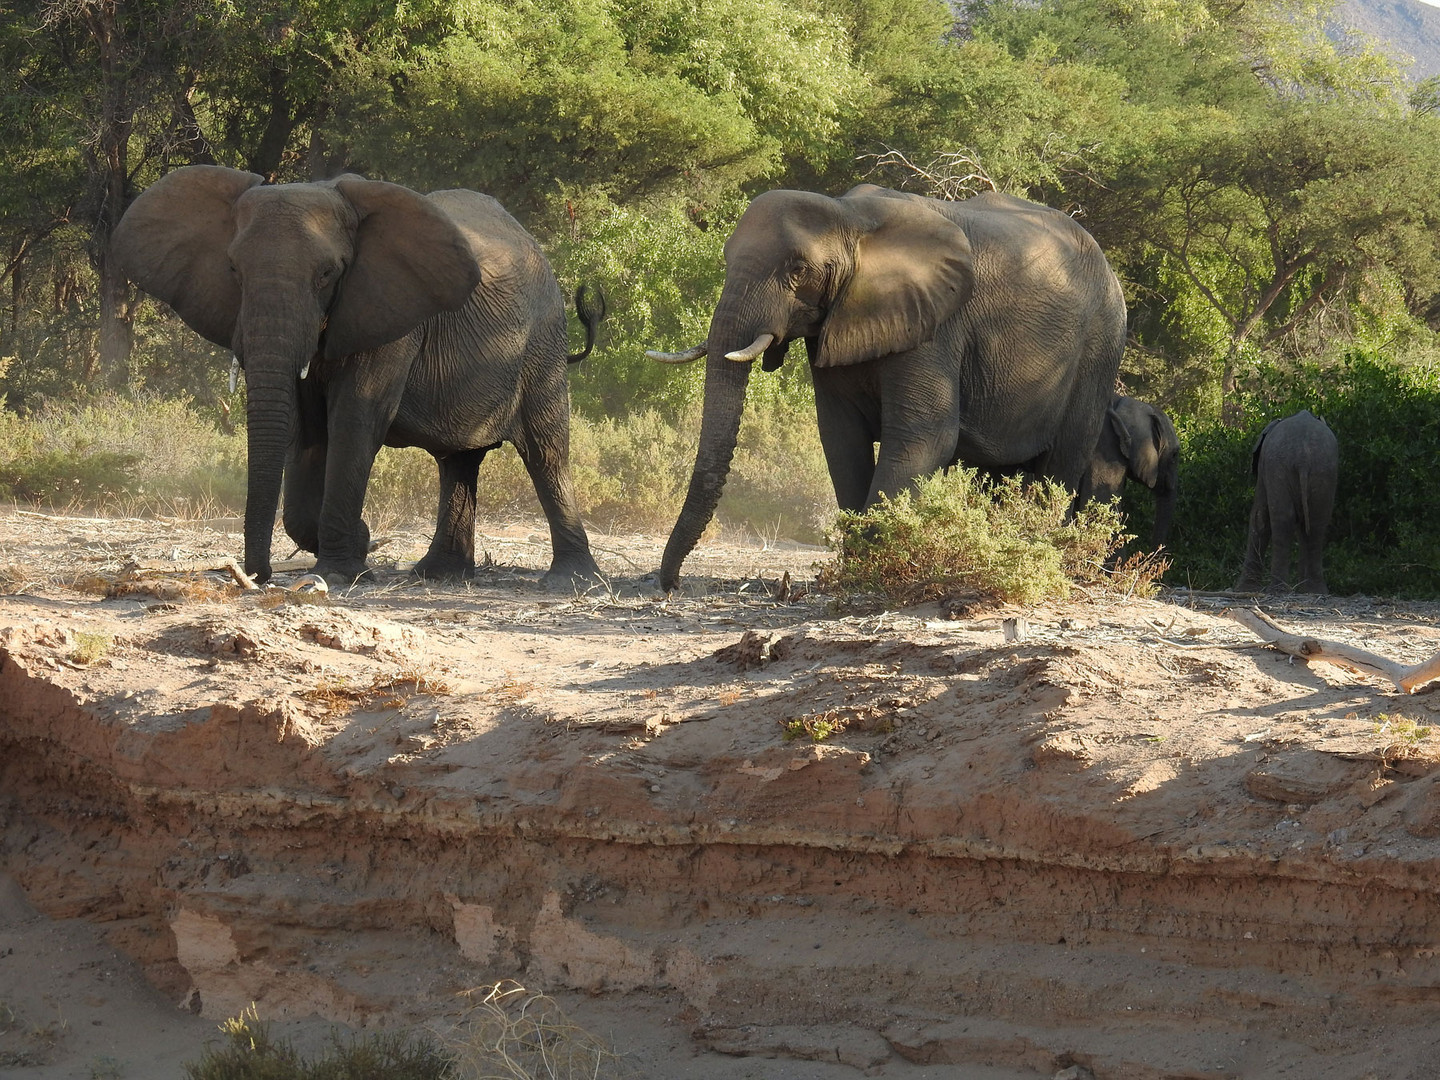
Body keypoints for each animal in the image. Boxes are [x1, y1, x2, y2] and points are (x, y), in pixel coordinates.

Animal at [112, 164, 601, 587]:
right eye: (233, 269)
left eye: (327, 274)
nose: (257, 575)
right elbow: (306, 429)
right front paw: (358, 547)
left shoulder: (389, 313)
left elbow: (355, 417)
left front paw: (343, 569)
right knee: (458, 461)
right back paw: (438, 575)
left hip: (542, 342)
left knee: (545, 451)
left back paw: (570, 582)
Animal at [648, 185, 1128, 593]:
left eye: (798, 269)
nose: (672, 586)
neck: (849, 218)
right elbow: (841, 439)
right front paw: (859, 561)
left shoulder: (935, 325)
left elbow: (923, 436)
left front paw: (871, 567)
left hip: (1099, 347)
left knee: (1061, 461)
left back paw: (1044, 555)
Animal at [1232, 408, 1330, 596]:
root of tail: (1303, 457)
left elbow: (1259, 516)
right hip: (1321, 468)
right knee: (1316, 522)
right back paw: (1315, 591)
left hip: (1279, 465)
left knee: (1282, 520)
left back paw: (1278, 590)